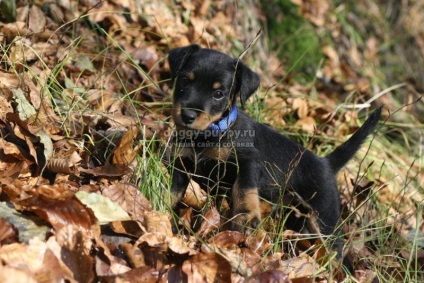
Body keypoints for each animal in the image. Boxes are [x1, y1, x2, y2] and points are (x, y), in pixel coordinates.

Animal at [167, 44, 382, 253]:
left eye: (218, 94)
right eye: (185, 81)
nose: (187, 116)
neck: (210, 133)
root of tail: (326, 163)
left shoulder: (248, 160)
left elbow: (243, 186)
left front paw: (246, 215)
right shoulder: (181, 163)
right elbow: (174, 191)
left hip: (324, 217)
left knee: (337, 251)